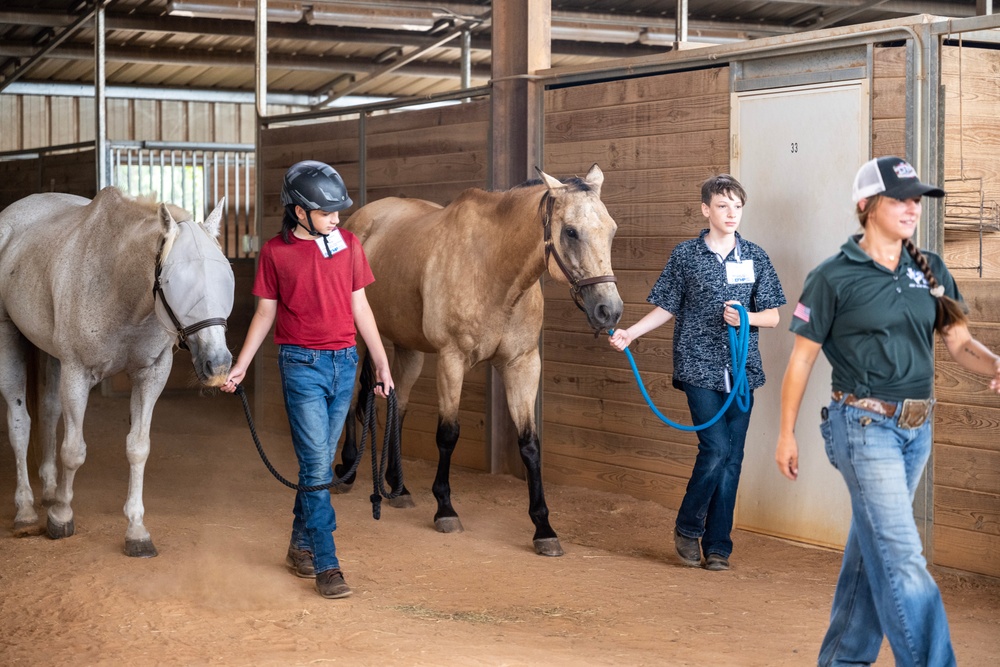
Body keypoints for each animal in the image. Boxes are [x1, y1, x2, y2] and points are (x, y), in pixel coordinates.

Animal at [0, 188, 232, 560]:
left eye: (227, 278)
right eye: (174, 282)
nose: (219, 366)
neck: (119, 284)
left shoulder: (151, 376)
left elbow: (138, 447)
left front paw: (136, 531)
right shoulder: (77, 373)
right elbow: (74, 450)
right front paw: (62, 517)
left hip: (52, 354)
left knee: (48, 412)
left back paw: (49, 490)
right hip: (9, 336)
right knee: (20, 423)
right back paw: (25, 510)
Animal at [344, 164, 624, 556]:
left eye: (611, 229)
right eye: (570, 231)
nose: (608, 310)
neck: (493, 268)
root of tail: (361, 220)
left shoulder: (522, 364)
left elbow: (530, 444)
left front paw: (544, 528)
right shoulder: (452, 360)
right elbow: (448, 434)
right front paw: (445, 509)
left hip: (407, 348)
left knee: (399, 407)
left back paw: (398, 488)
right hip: (357, 339)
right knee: (350, 397)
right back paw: (346, 472)